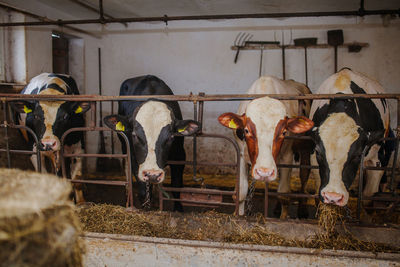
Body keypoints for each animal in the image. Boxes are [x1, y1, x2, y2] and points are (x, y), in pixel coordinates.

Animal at [10, 73, 90, 203]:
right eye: (36, 116)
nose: (48, 143)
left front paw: (81, 203)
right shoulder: (33, 151)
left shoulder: (78, 148)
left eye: (65, 116)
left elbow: (77, 180)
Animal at [103, 75, 200, 211]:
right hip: (124, 145)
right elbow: (143, 190)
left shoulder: (180, 155)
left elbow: (176, 184)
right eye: (135, 135)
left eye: (170, 137)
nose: (153, 174)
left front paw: (178, 209)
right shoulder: (134, 158)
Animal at [217, 76, 314, 218]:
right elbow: (241, 191)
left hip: (305, 146)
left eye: (284, 132)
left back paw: (302, 209)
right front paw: (238, 214)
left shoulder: (287, 156)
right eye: (246, 130)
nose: (264, 172)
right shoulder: (241, 154)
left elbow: (283, 194)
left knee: (304, 173)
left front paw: (283, 218)